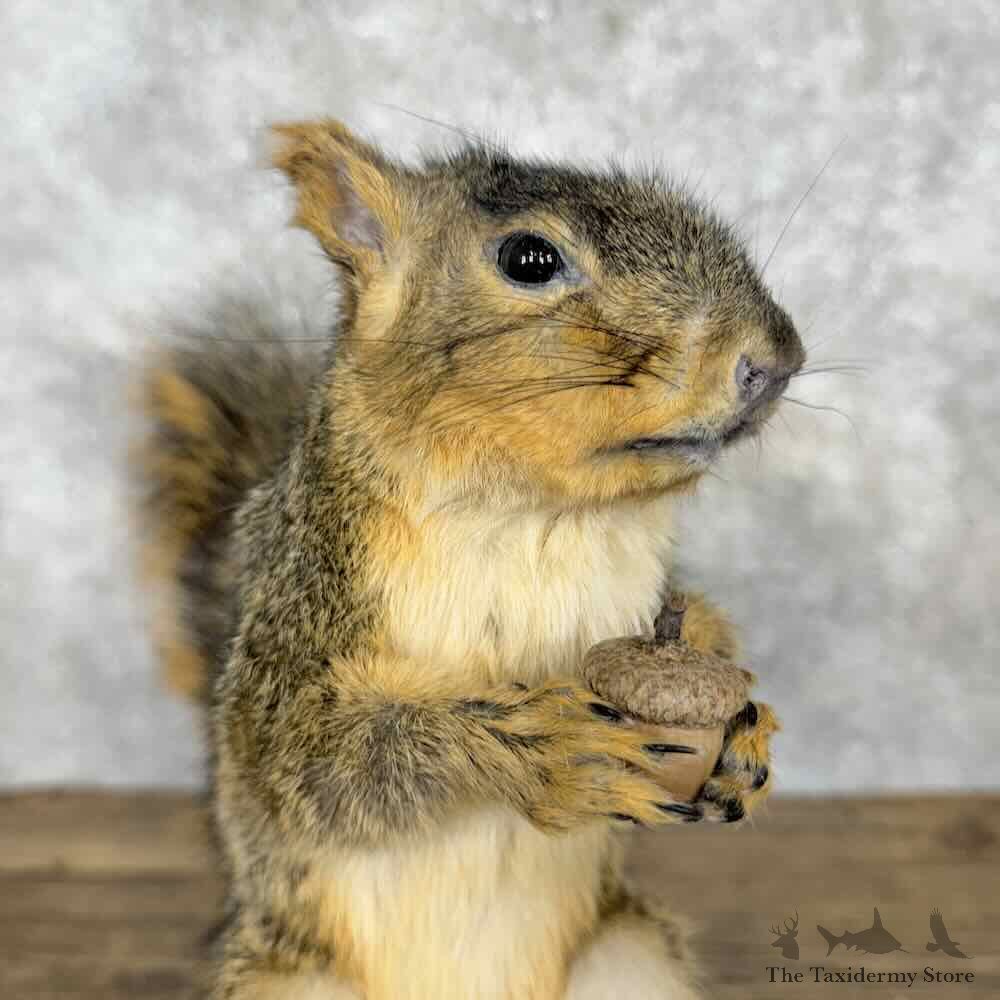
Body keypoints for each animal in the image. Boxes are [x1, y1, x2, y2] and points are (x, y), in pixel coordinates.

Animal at [136, 120, 804, 999]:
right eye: (529, 259)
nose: (776, 359)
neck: (538, 514)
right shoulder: (298, 615)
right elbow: (313, 761)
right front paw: (542, 748)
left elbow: (698, 627)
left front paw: (740, 730)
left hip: (631, 963)